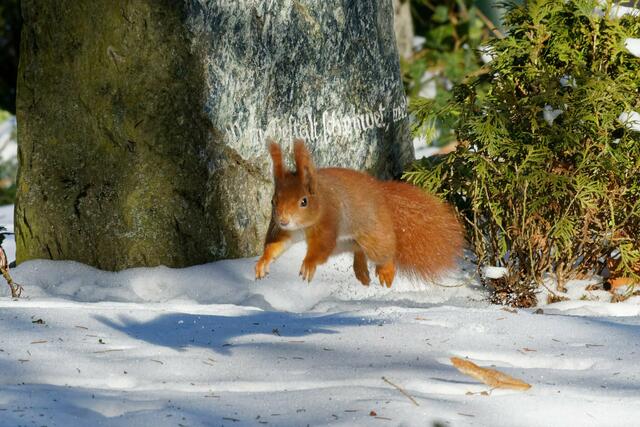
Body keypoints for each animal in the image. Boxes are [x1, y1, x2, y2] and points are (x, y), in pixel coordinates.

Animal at [255, 140, 464, 287]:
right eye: (273, 201)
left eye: (303, 201)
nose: (283, 220)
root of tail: (380, 194)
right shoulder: (285, 231)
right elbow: (277, 245)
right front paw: (263, 262)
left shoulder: (330, 221)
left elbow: (320, 248)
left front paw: (308, 264)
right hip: (344, 243)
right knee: (358, 250)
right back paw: (361, 271)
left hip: (374, 234)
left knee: (385, 251)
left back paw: (386, 271)